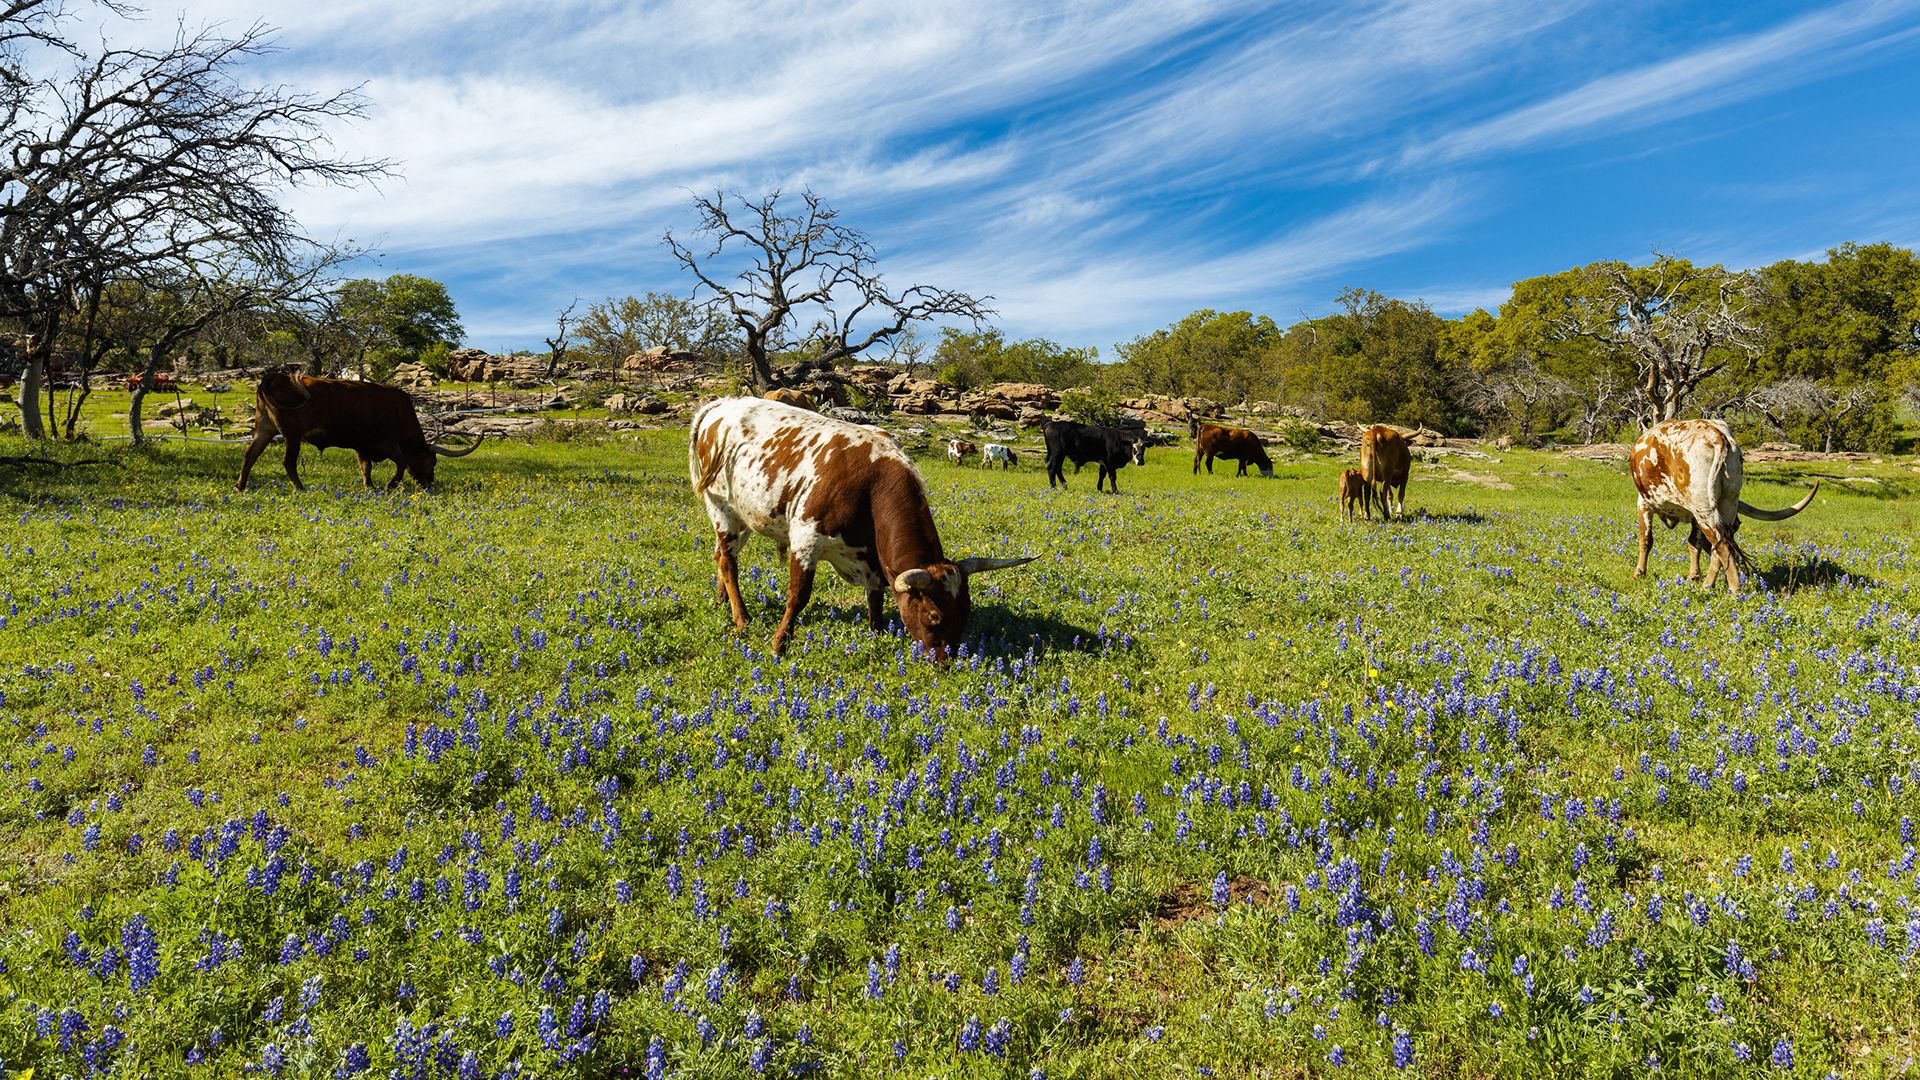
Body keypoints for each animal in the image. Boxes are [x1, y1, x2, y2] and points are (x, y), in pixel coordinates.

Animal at [237, 367, 483, 490]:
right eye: (432, 462)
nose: (429, 483)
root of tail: (273, 377)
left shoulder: (361, 445)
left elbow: (365, 467)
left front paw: (369, 486)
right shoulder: (387, 444)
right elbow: (401, 463)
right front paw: (391, 485)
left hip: (264, 428)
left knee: (250, 455)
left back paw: (240, 486)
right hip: (292, 434)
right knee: (288, 462)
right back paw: (300, 487)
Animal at [683, 395, 1029, 657]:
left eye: (966, 612)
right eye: (934, 616)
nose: (947, 661)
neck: (872, 483)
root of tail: (722, 404)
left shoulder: (870, 556)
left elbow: (875, 597)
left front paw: (877, 634)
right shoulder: (806, 541)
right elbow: (799, 595)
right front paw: (780, 641)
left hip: (743, 518)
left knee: (721, 557)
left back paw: (722, 601)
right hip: (722, 509)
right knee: (729, 562)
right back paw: (741, 618)